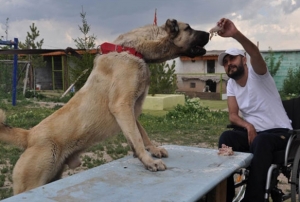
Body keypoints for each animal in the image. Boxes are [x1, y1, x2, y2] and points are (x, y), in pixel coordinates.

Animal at [0, 19, 209, 194]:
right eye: (188, 28)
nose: (208, 33)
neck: (133, 50)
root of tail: (29, 135)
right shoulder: (122, 105)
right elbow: (137, 137)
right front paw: (148, 160)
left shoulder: (132, 109)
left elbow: (140, 132)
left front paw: (153, 149)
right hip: (32, 182)